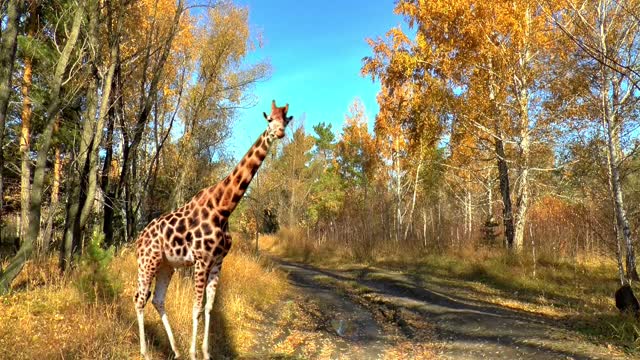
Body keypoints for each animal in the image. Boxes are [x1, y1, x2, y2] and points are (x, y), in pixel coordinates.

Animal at [136, 100, 296, 358]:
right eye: (269, 119)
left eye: (286, 120)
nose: (279, 132)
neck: (223, 208)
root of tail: (138, 239)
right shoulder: (201, 259)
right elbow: (196, 308)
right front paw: (194, 354)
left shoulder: (218, 261)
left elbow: (209, 307)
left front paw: (205, 352)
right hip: (147, 261)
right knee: (139, 298)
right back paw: (145, 352)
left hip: (166, 265)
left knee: (157, 300)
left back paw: (175, 350)